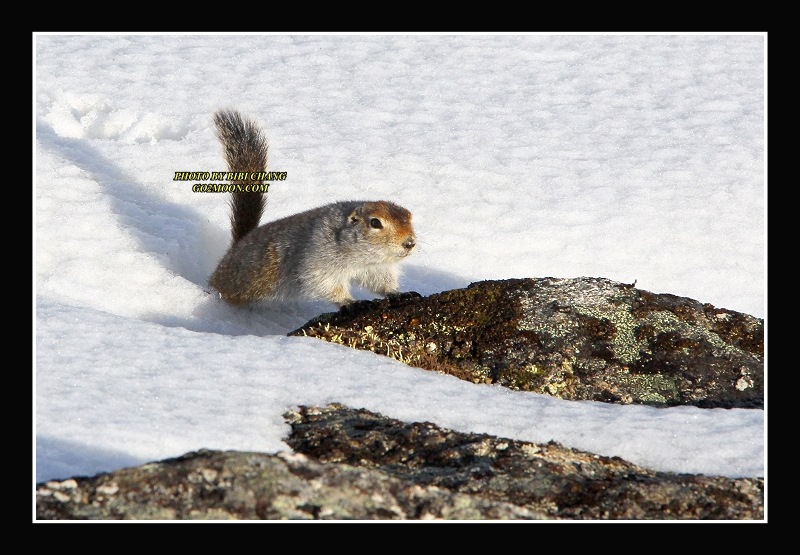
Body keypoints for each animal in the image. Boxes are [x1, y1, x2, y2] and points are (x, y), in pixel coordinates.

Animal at [208, 109, 417, 307]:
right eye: (375, 223)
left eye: (409, 216)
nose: (409, 243)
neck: (362, 259)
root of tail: (232, 251)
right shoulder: (319, 257)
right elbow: (323, 282)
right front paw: (350, 302)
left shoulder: (376, 267)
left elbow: (381, 281)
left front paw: (398, 293)